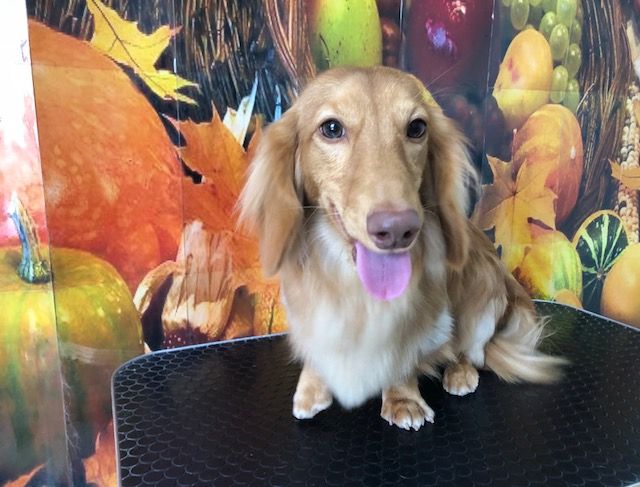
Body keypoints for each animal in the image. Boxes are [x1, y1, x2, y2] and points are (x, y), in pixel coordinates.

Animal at [239, 66, 565, 430]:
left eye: (417, 128)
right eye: (332, 128)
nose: (397, 230)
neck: (351, 284)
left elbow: (404, 354)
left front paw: (403, 400)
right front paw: (311, 389)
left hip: (483, 295)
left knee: (472, 351)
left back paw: (460, 372)